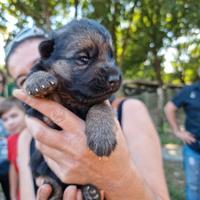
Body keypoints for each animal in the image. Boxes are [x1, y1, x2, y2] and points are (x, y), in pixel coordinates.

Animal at [25, 19, 122, 200]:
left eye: (111, 57)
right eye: (84, 58)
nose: (116, 79)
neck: (75, 99)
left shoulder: (103, 99)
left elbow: (101, 105)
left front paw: (102, 135)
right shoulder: (45, 116)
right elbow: (44, 84)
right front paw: (38, 80)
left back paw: (90, 191)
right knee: (52, 182)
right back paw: (53, 190)